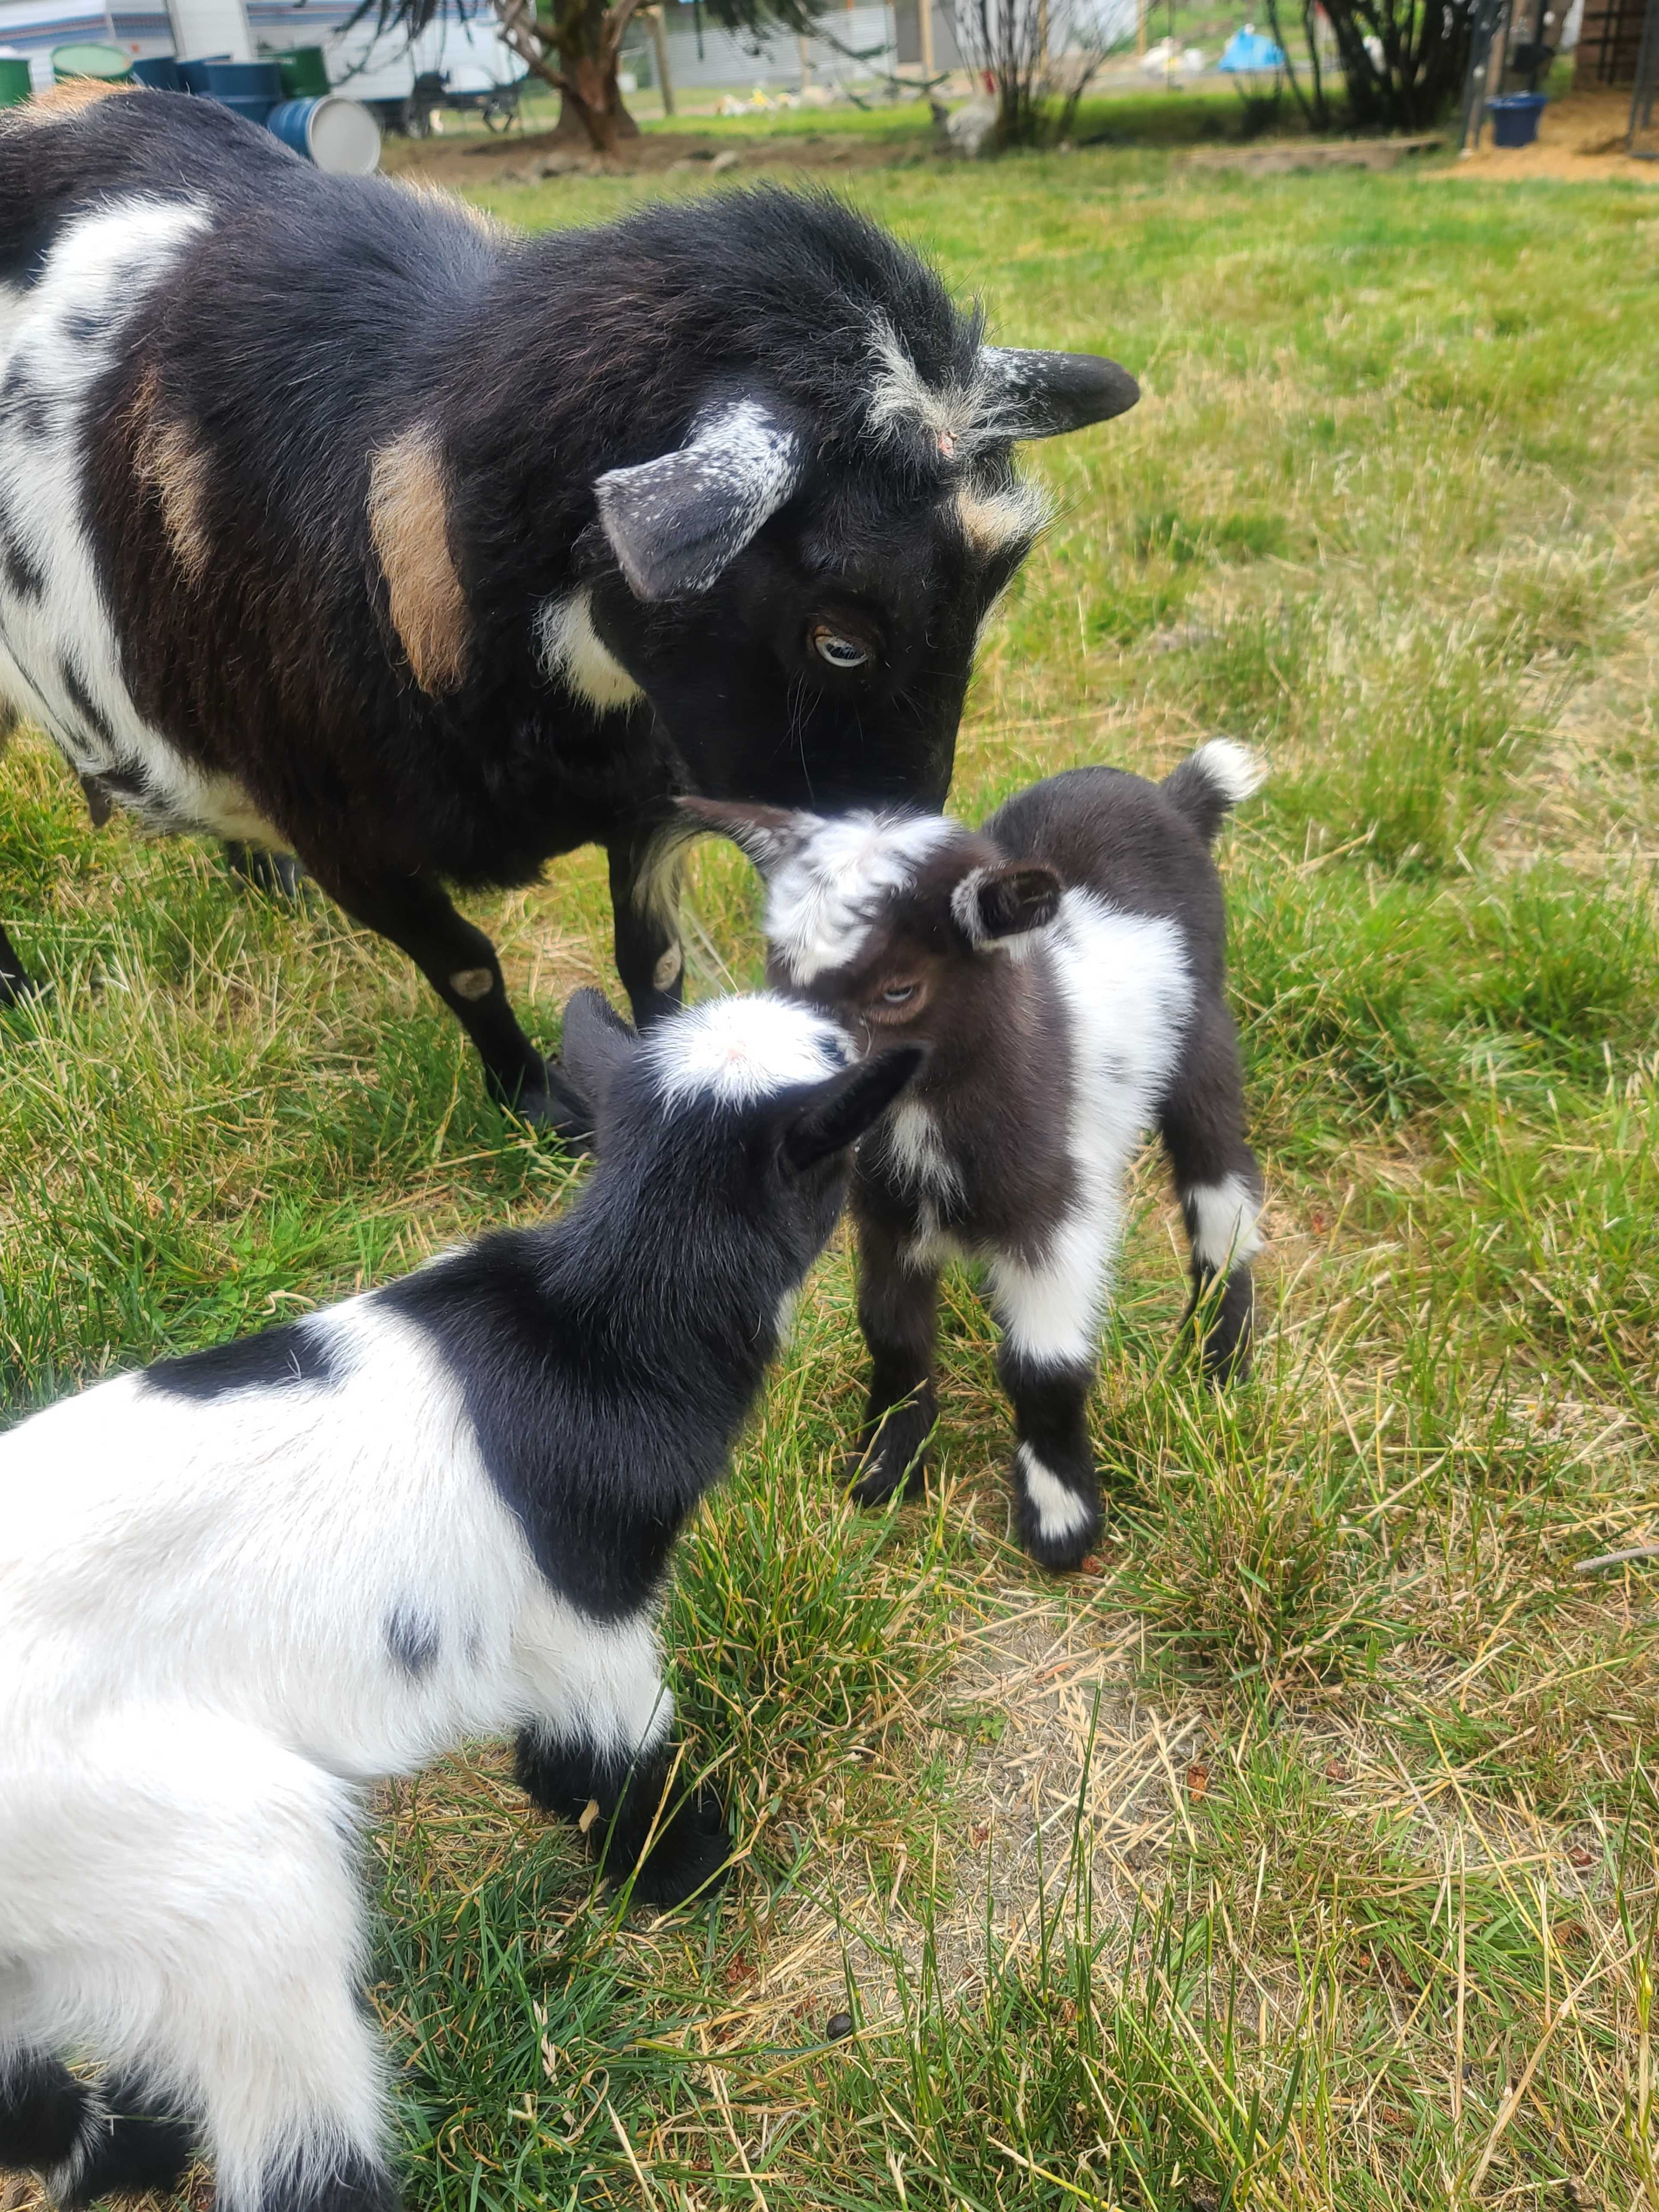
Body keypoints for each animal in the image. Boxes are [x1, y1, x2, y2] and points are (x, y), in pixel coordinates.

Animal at [0, 85, 1137, 1135]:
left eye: (988, 597)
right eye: (839, 638)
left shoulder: (652, 790)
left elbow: (655, 955)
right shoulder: (348, 836)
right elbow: (465, 963)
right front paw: (533, 1099)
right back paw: (20, 989)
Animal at [0, 985, 922, 2212]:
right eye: (838, 1064)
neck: (598, 1336)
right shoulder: (582, 1609)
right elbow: (604, 1751)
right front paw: (684, 1869)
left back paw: (132, 2148)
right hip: (199, 1850)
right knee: (289, 2111)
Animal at [687, 739, 1266, 1573]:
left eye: (899, 990)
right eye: (777, 970)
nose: (784, 1092)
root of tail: (1169, 797)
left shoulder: (1054, 1212)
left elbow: (1044, 1364)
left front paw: (1061, 1520)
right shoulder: (887, 1214)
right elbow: (891, 1333)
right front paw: (884, 1469)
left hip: (1203, 1038)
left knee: (1224, 1197)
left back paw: (1218, 1362)